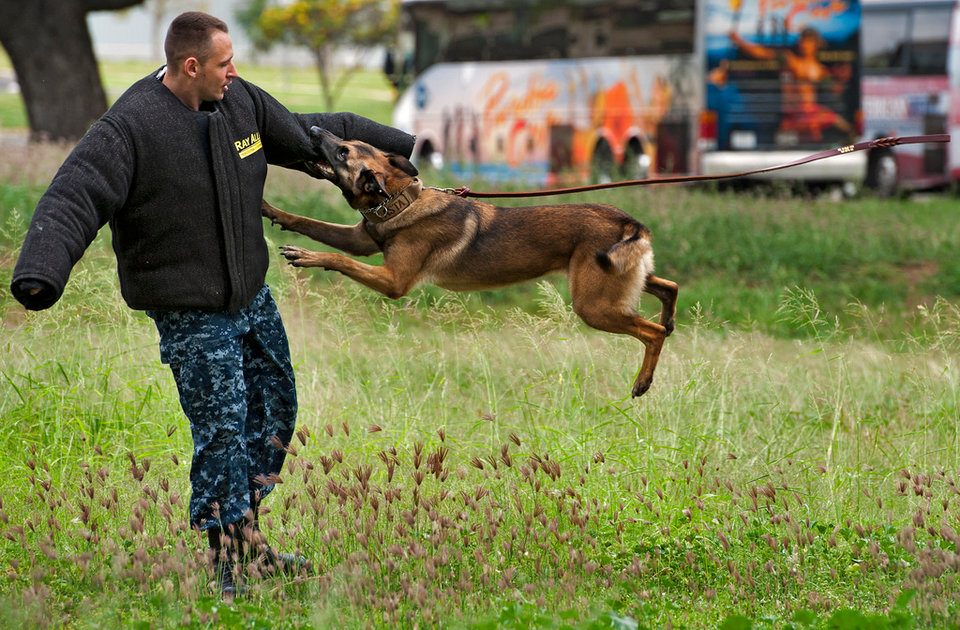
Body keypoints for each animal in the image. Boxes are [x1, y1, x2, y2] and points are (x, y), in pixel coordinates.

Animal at [258, 127, 680, 400]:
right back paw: (670, 319)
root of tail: (628, 223)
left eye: (344, 152)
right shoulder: (359, 242)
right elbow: (309, 223)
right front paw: (270, 210)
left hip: (593, 305)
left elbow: (336, 257)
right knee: (668, 288)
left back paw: (643, 381)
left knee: (652, 333)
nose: (314, 128)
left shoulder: (393, 281)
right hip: (619, 282)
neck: (401, 201)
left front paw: (305, 255)